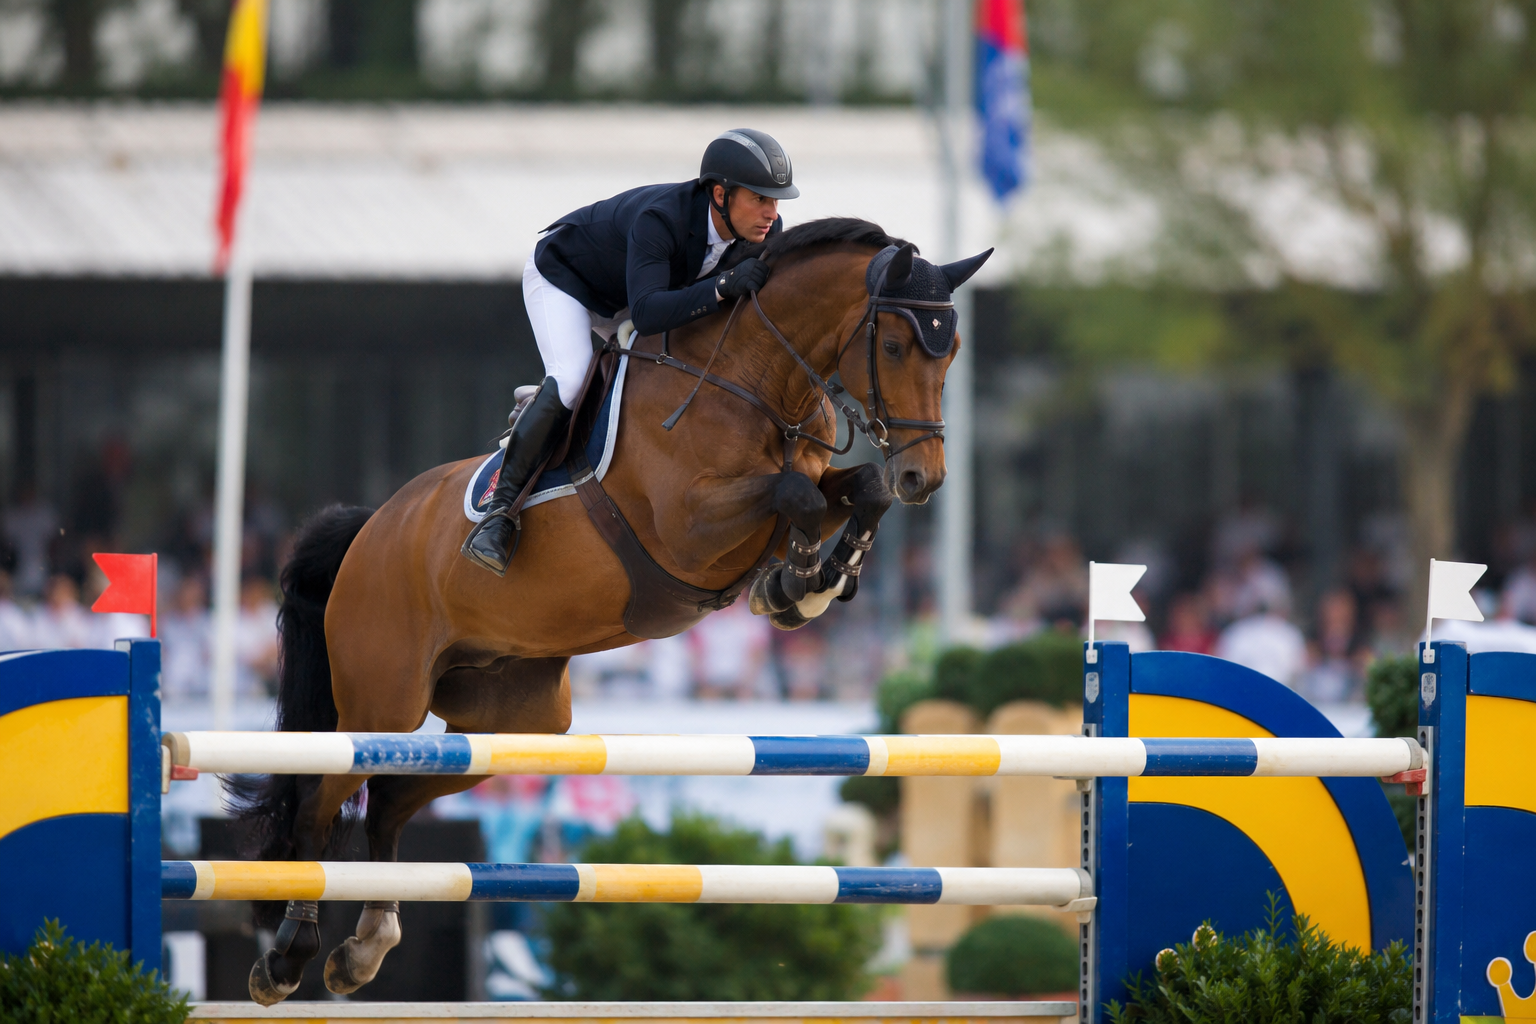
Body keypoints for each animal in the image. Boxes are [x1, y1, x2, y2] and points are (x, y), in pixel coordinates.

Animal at [236, 217, 992, 1004]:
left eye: (951, 351)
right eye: (895, 346)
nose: (925, 477)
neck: (755, 383)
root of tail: (371, 527)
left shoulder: (810, 481)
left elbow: (856, 489)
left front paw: (808, 583)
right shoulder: (691, 526)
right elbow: (796, 497)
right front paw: (796, 583)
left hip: (514, 722)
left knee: (386, 798)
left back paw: (364, 949)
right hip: (383, 699)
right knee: (320, 803)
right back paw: (286, 959)